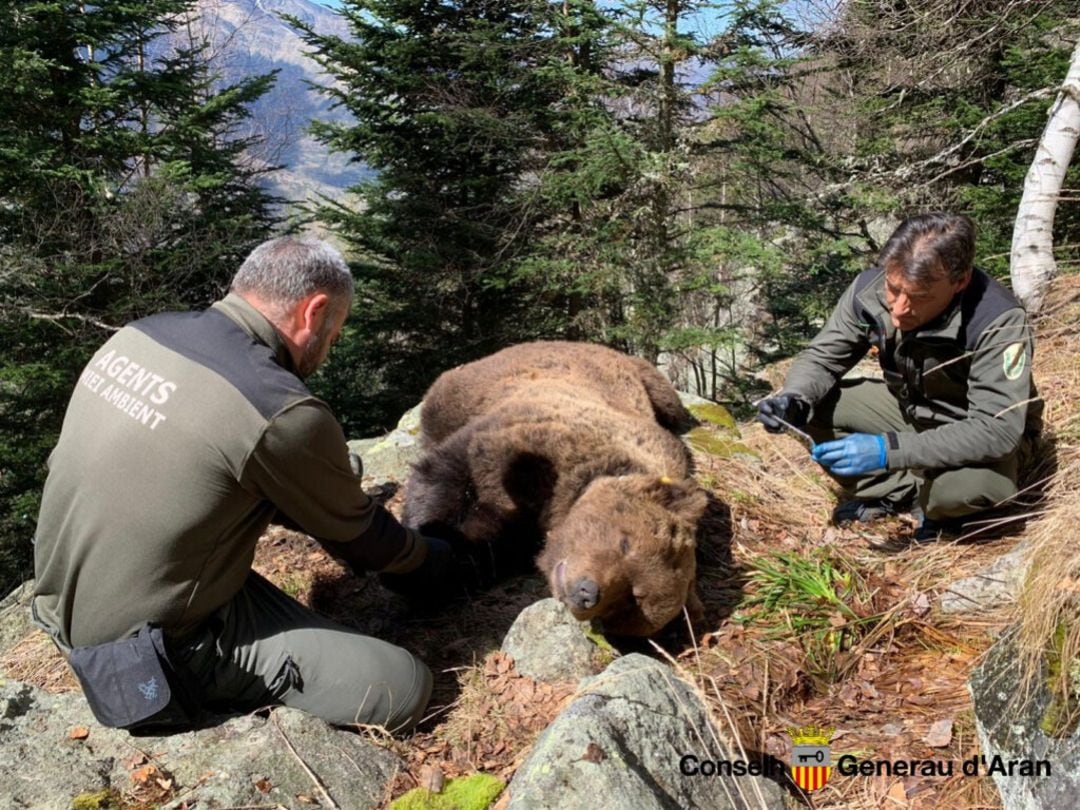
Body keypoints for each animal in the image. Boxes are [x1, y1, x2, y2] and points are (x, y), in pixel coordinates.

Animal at [406, 339, 708, 639]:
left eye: (632, 599)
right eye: (625, 543)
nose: (587, 593)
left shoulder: (521, 534)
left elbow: (486, 548)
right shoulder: (530, 438)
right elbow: (448, 476)